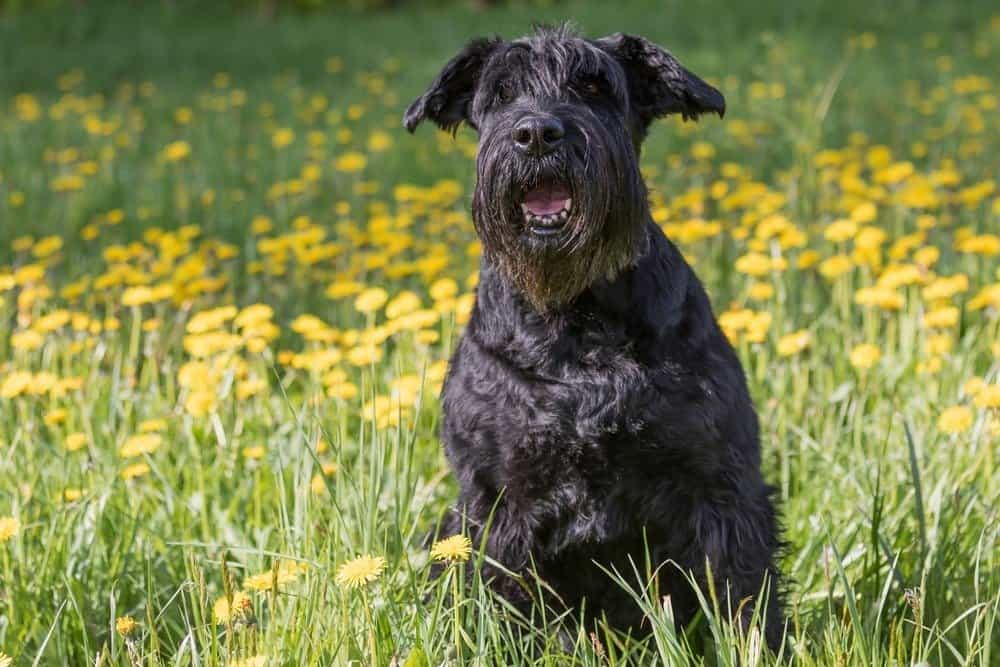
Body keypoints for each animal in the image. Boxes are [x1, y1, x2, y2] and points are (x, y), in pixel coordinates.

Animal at [402, 27, 784, 652]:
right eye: (501, 93)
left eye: (593, 85)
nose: (536, 134)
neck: (577, 316)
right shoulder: (496, 502)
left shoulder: (718, 486)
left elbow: (744, 596)